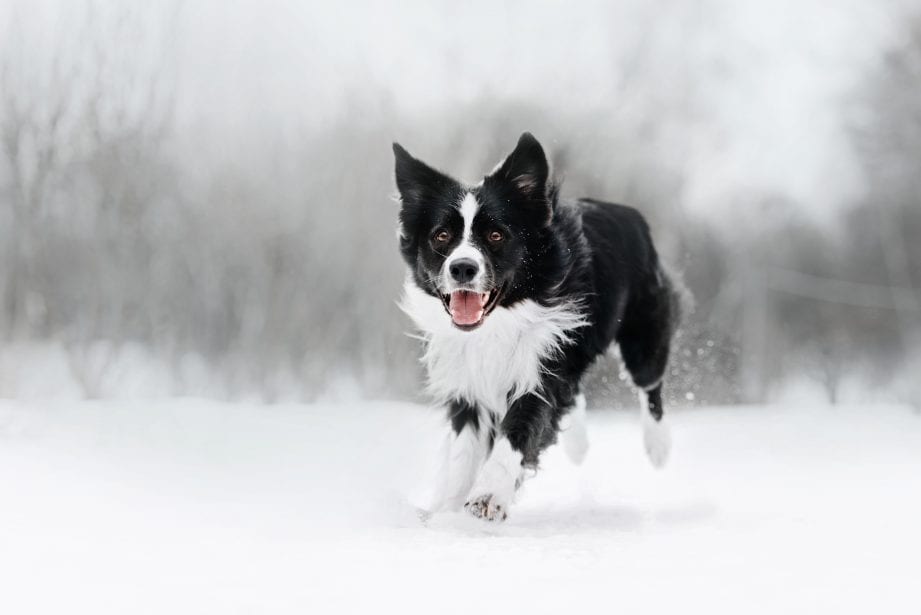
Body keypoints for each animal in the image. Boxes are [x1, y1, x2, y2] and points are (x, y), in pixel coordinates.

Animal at [392, 134, 680, 520]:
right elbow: (464, 452)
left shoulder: (540, 367)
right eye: (441, 236)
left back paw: (658, 447)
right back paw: (579, 443)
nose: (462, 268)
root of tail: (629, 213)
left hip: (643, 331)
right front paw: (448, 511)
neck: (497, 323)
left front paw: (488, 496)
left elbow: (519, 427)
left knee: (649, 384)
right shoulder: (467, 379)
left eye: (496, 235)